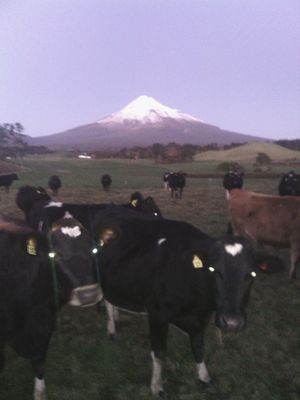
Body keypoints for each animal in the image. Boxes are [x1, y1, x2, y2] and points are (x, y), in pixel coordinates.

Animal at [91, 208, 258, 396]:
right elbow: (159, 352)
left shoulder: (201, 317)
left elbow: (198, 346)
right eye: (213, 269)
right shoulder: (157, 314)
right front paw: (156, 387)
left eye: (252, 274)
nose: (232, 322)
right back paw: (111, 328)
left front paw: (204, 378)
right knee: (107, 301)